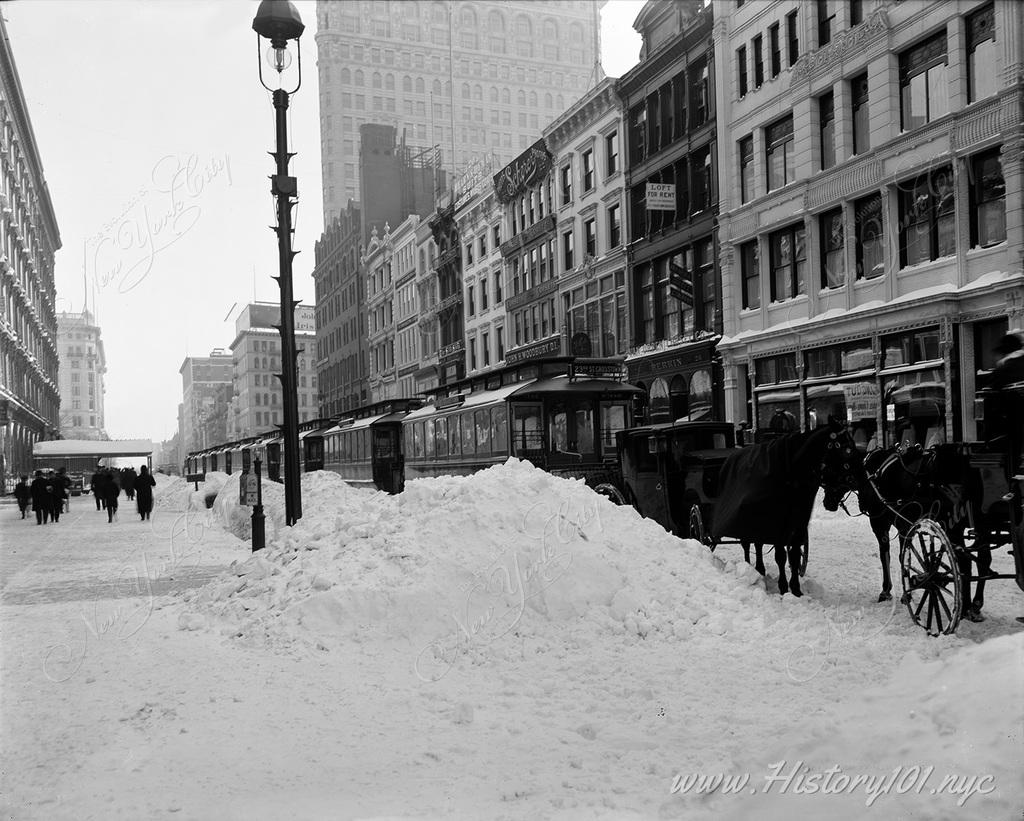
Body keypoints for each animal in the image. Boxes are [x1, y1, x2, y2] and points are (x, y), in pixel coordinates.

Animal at [712, 421, 864, 593]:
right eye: (845, 449)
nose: (863, 477)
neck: (793, 477)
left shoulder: (799, 524)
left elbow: (795, 555)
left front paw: (796, 589)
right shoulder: (778, 525)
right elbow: (780, 556)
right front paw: (784, 587)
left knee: (757, 544)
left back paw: (760, 570)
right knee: (748, 544)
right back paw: (750, 567)